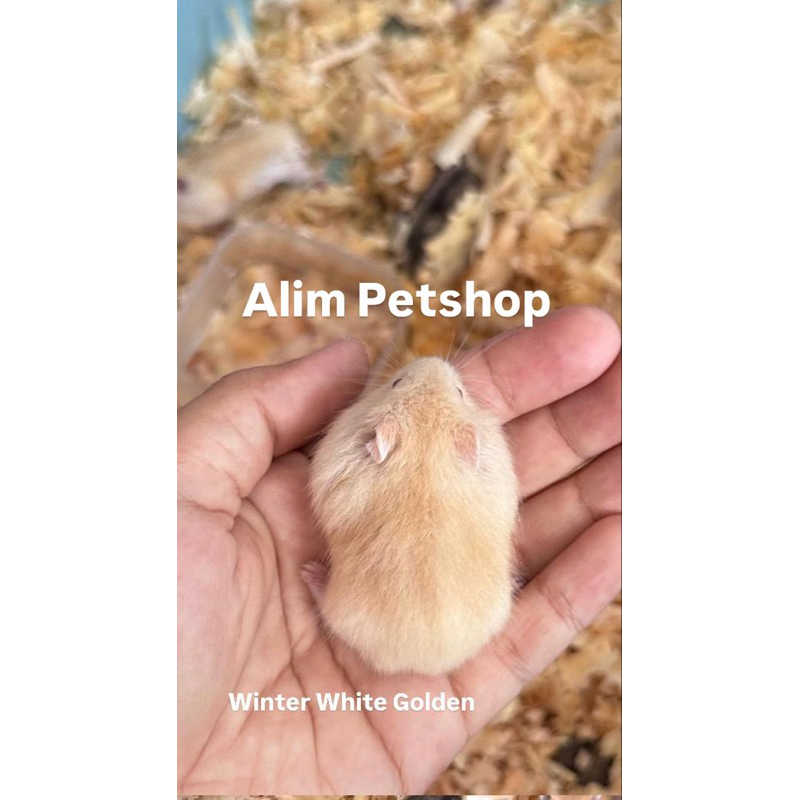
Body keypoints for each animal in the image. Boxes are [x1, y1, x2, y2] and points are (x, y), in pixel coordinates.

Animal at [308, 356, 519, 675]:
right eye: (397, 382)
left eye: (459, 392)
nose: (432, 359)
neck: (425, 456)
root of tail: (424, 660)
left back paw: (309, 572)